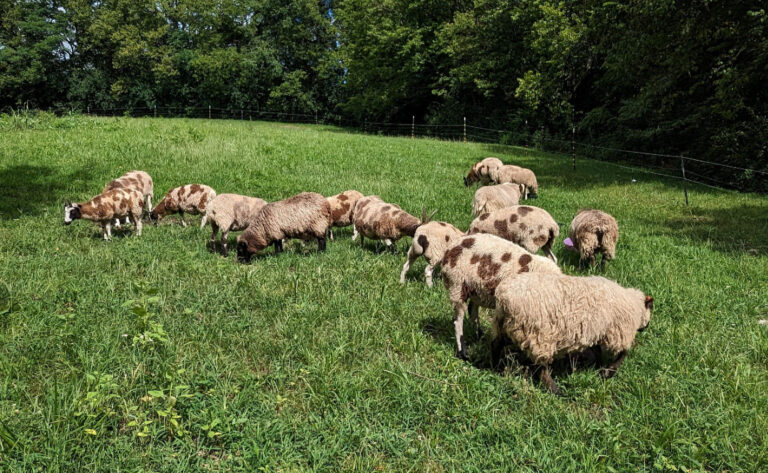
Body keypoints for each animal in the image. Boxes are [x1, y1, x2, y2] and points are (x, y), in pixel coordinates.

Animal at [491, 273, 653, 394]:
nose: (646, 327)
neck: (633, 305)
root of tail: (503, 297)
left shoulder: (598, 331)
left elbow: (598, 352)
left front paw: (599, 367)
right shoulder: (619, 332)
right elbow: (623, 353)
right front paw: (608, 372)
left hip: (506, 326)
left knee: (495, 344)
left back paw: (495, 367)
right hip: (539, 335)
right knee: (541, 367)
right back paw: (555, 389)